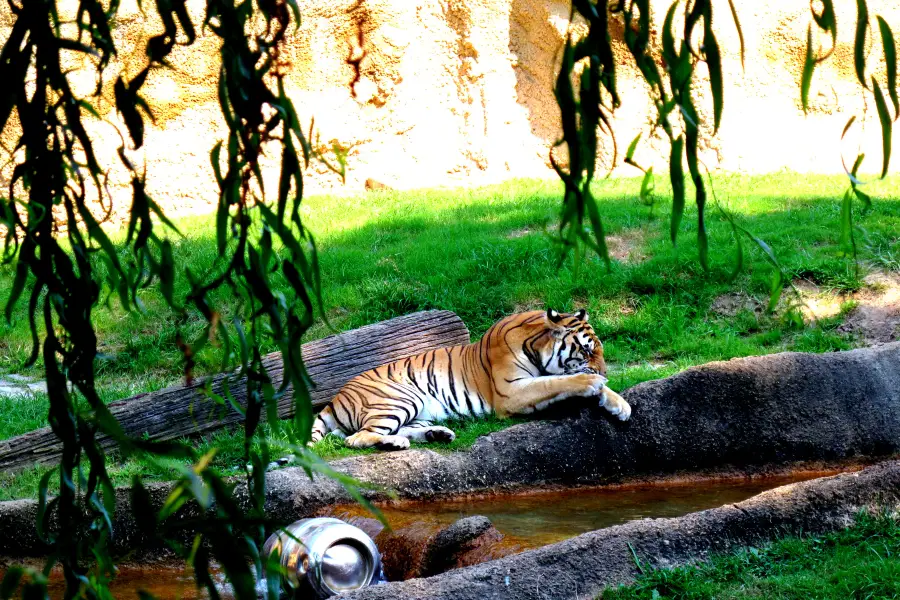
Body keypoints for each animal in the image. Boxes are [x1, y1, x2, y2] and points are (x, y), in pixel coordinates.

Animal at [310, 310, 632, 450]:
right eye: (587, 350)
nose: (605, 373)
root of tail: (334, 399)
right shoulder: (511, 392)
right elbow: (556, 382)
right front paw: (593, 384)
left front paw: (620, 405)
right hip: (398, 398)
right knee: (356, 437)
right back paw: (397, 443)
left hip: (417, 409)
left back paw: (437, 435)